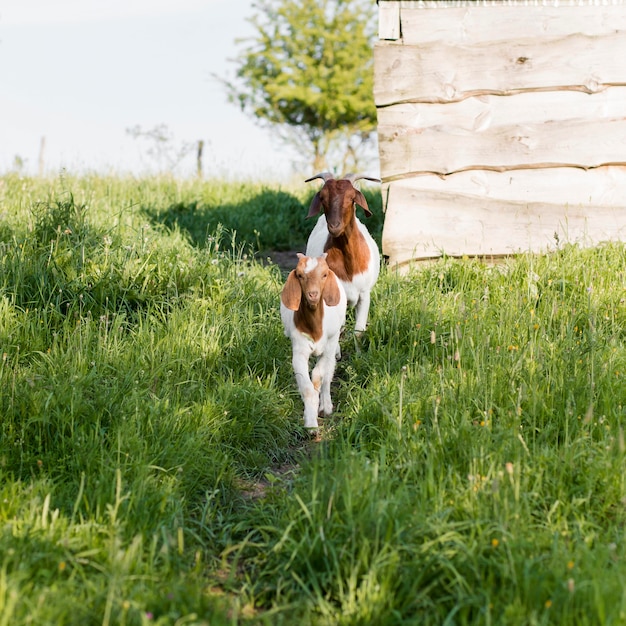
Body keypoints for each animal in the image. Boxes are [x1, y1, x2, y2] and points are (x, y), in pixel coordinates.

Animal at [280, 251, 346, 426]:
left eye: (324, 274)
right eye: (300, 275)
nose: (313, 295)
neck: (315, 328)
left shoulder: (329, 346)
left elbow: (318, 376)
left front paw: (320, 406)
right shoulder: (299, 351)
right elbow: (307, 388)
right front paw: (310, 423)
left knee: (328, 374)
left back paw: (326, 406)